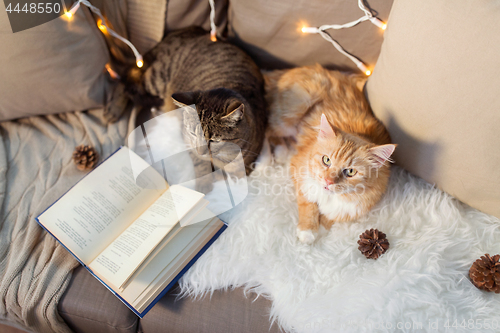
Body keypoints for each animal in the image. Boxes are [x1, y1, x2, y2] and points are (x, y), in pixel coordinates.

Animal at [107, 26, 268, 182]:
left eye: (214, 140)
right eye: (192, 133)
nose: (200, 151)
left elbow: (241, 171)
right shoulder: (188, 142)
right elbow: (201, 165)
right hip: (158, 76)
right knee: (124, 79)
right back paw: (111, 110)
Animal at [264, 63, 396, 243]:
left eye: (350, 172)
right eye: (326, 160)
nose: (328, 181)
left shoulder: (352, 208)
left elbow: (331, 217)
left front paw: (320, 230)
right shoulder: (300, 170)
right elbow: (309, 204)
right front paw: (308, 230)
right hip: (292, 113)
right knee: (266, 130)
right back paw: (269, 160)